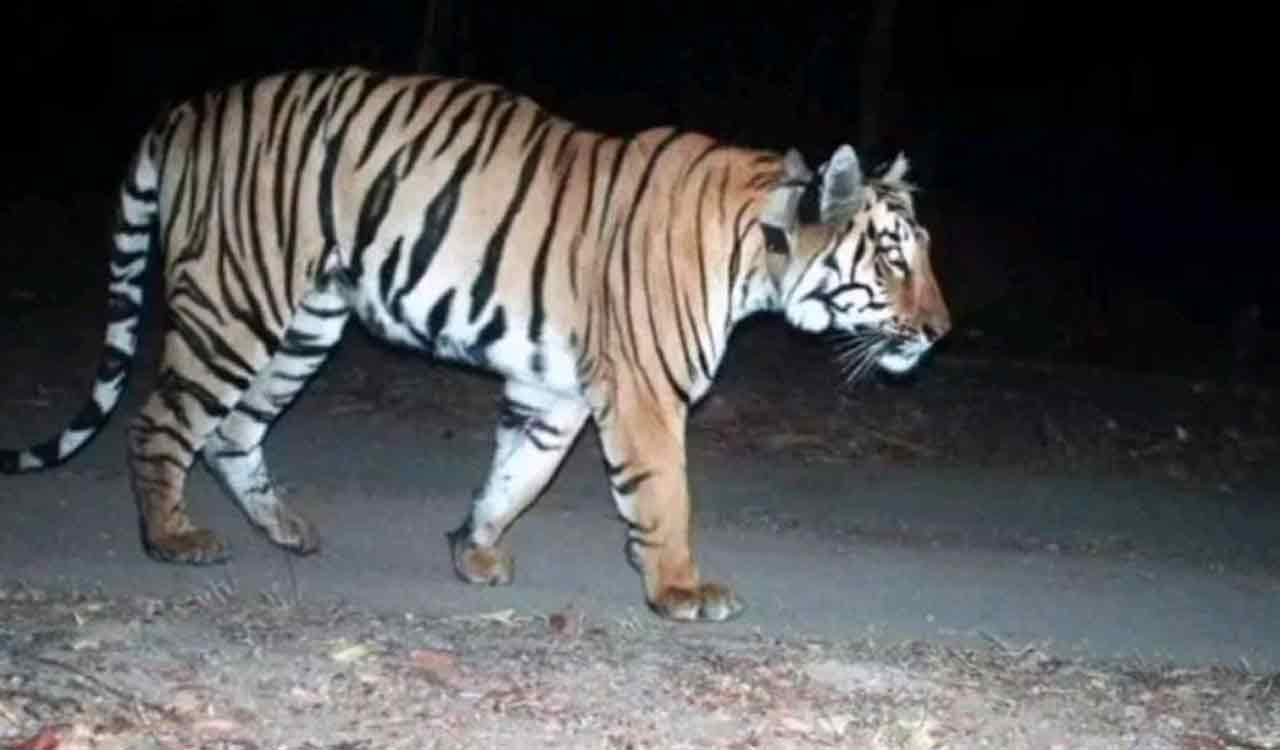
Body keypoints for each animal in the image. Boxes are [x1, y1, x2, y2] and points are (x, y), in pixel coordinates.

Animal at [0, 66, 950, 622]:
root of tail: (192, 107)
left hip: (307, 322)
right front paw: (680, 589)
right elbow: (663, 493)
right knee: (161, 421)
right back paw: (171, 538)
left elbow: (516, 473)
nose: (941, 332)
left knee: (233, 429)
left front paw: (474, 550)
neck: (758, 254)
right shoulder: (645, 392)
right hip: (238, 300)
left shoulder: (556, 390)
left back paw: (287, 531)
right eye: (893, 256)